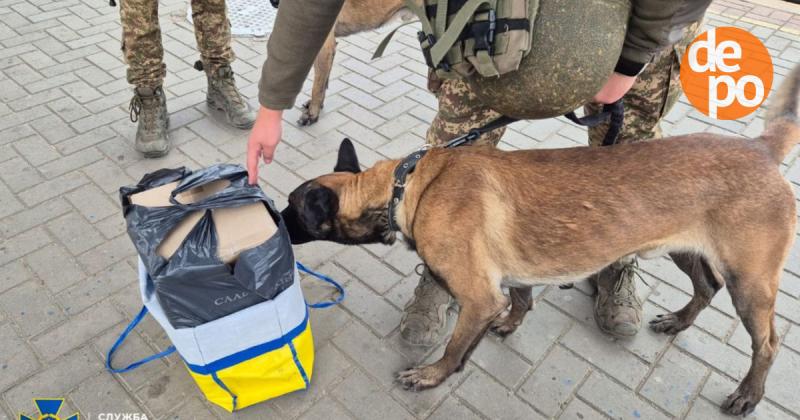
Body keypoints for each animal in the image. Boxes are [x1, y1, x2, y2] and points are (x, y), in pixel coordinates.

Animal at [282, 64, 800, 416]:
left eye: (292, 209)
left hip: (751, 284)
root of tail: (759, 149)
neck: (405, 186)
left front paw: (432, 376)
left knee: (768, 344)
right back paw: (679, 321)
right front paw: (510, 324)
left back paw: (748, 394)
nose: (274, 219)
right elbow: (521, 299)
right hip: (686, 250)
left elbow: (454, 349)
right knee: (707, 285)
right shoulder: (510, 278)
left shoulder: (477, 296)